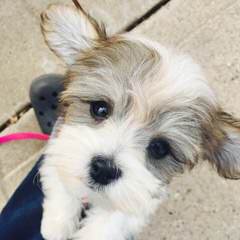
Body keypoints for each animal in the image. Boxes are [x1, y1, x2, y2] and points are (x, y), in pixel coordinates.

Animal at [39, 0, 240, 239]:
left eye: (159, 148)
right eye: (100, 109)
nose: (105, 169)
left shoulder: (139, 201)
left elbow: (110, 223)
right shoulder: (59, 144)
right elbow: (60, 181)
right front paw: (56, 224)